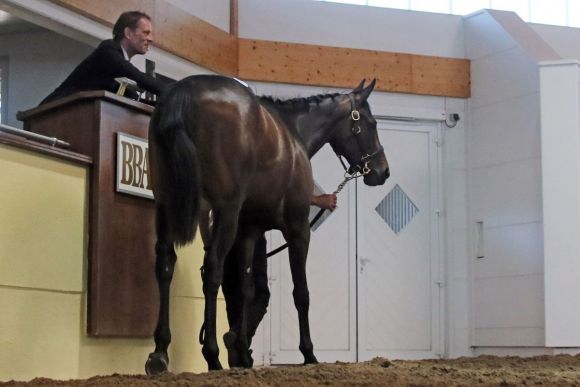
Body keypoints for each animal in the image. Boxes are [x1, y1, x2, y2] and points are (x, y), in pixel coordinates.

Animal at [145, 74, 390, 374]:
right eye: (371, 123)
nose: (383, 171)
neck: (293, 134)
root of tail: (186, 90)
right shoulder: (298, 230)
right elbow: (301, 292)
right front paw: (308, 353)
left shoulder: (250, 230)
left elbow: (246, 289)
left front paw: (241, 352)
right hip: (225, 212)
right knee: (213, 270)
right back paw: (212, 356)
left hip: (165, 206)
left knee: (166, 265)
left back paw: (160, 352)